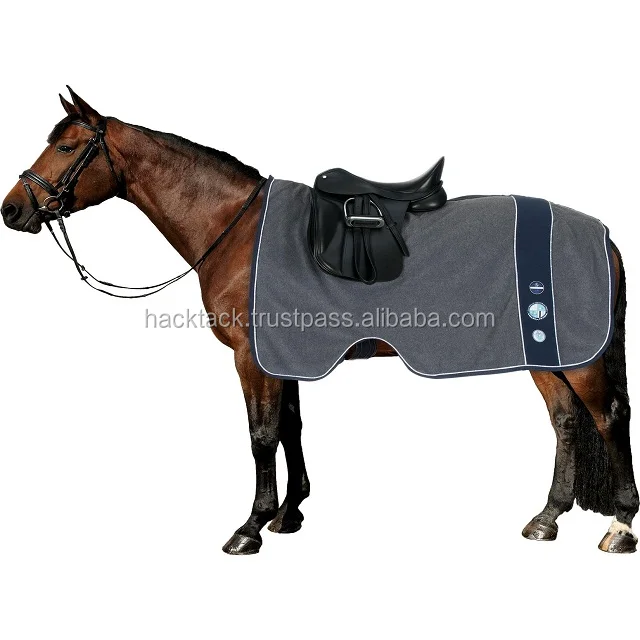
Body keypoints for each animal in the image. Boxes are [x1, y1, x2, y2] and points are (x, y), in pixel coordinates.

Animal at [2, 89, 638, 554]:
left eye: (67, 148)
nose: (13, 209)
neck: (236, 228)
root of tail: (603, 234)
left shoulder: (252, 356)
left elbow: (260, 435)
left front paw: (251, 527)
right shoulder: (283, 354)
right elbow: (289, 428)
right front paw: (290, 513)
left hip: (577, 358)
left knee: (606, 417)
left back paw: (621, 527)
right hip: (544, 354)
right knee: (565, 422)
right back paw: (547, 518)